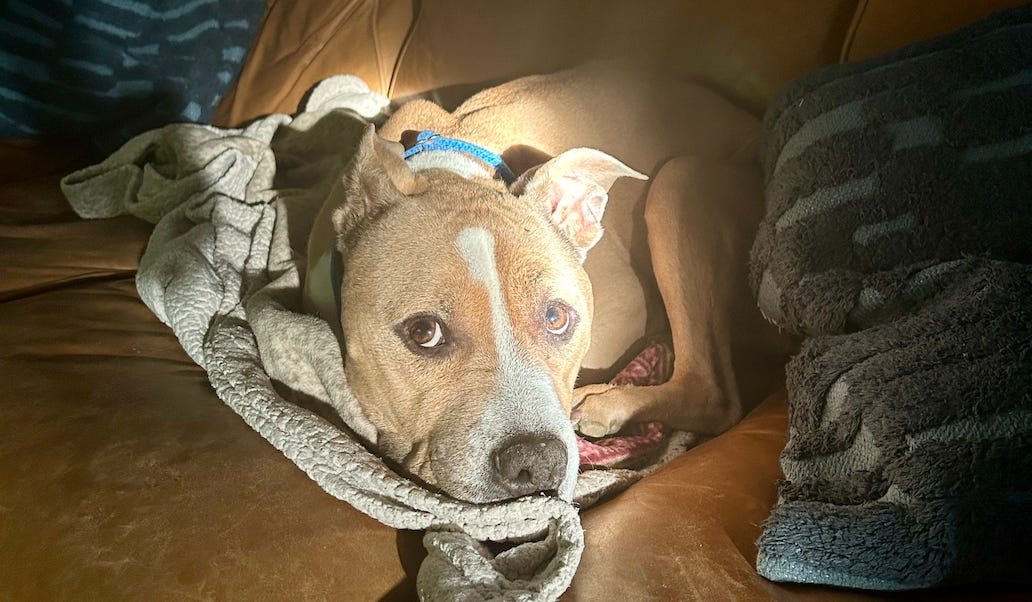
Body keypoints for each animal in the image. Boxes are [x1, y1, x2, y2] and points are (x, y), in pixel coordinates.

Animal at [301, 62, 784, 503]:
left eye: (556, 318)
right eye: (424, 332)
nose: (535, 461)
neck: (450, 169)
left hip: (678, 180)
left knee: (712, 392)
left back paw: (607, 402)